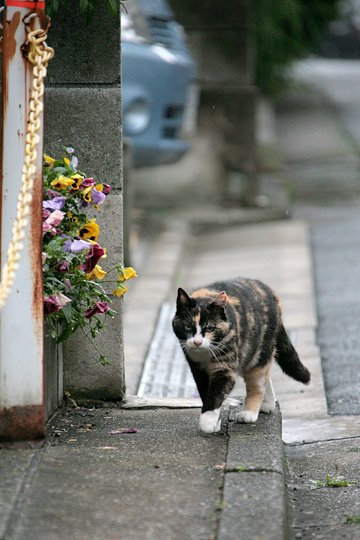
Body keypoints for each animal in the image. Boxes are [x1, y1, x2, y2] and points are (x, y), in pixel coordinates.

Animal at [172, 278, 310, 434]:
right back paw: (268, 404)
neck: (205, 353)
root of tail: (271, 292)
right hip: (247, 353)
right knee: (264, 376)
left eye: (210, 328)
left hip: (258, 351)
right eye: (188, 326)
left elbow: (216, 392)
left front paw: (207, 422)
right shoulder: (198, 370)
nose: (197, 342)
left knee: (258, 381)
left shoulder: (225, 369)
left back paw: (249, 413)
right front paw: (215, 421)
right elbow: (205, 392)